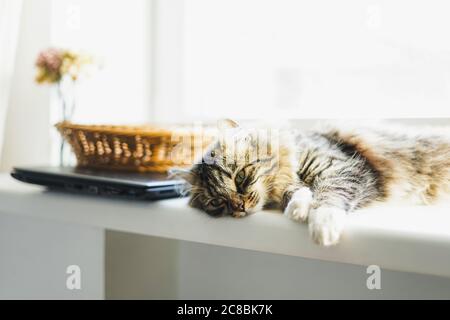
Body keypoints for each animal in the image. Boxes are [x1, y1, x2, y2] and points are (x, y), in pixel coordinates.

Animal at [171, 119, 450, 246]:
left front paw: (322, 225)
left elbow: (328, 196)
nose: (239, 208)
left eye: (240, 178)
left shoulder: (344, 168)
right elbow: (299, 192)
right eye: (217, 202)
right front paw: (298, 208)